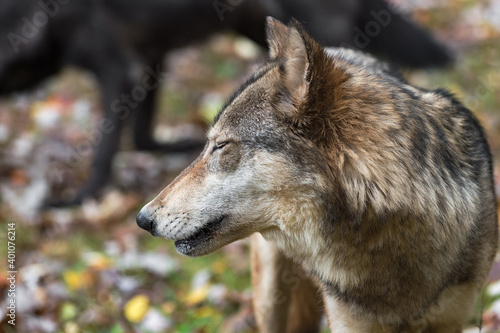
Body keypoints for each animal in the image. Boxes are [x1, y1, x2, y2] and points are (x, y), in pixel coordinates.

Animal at [0, 0, 454, 205]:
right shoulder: (149, 60)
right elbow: (144, 137)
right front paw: (186, 144)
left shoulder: (120, 68)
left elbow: (105, 151)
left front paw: (80, 198)